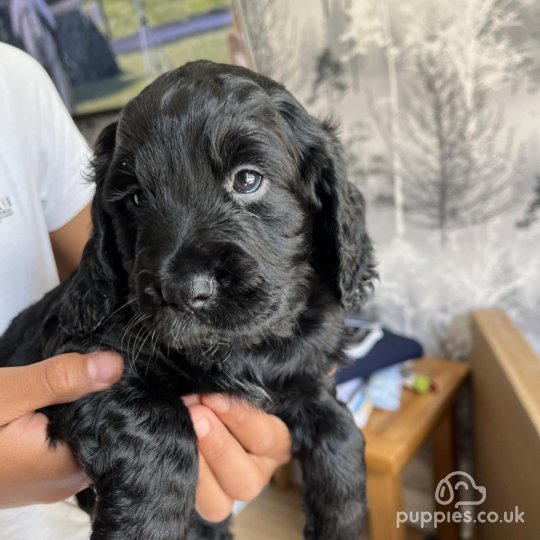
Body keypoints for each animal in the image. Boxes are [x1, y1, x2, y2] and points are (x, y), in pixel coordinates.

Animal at [1, 61, 376, 536]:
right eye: (136, 198)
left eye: (248, 179)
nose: (184, 290)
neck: (234, 351)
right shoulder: (90, 358)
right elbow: (164, 426)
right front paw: (143, 528)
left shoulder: (302, 376)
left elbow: (339, 428)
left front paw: (341, 521)